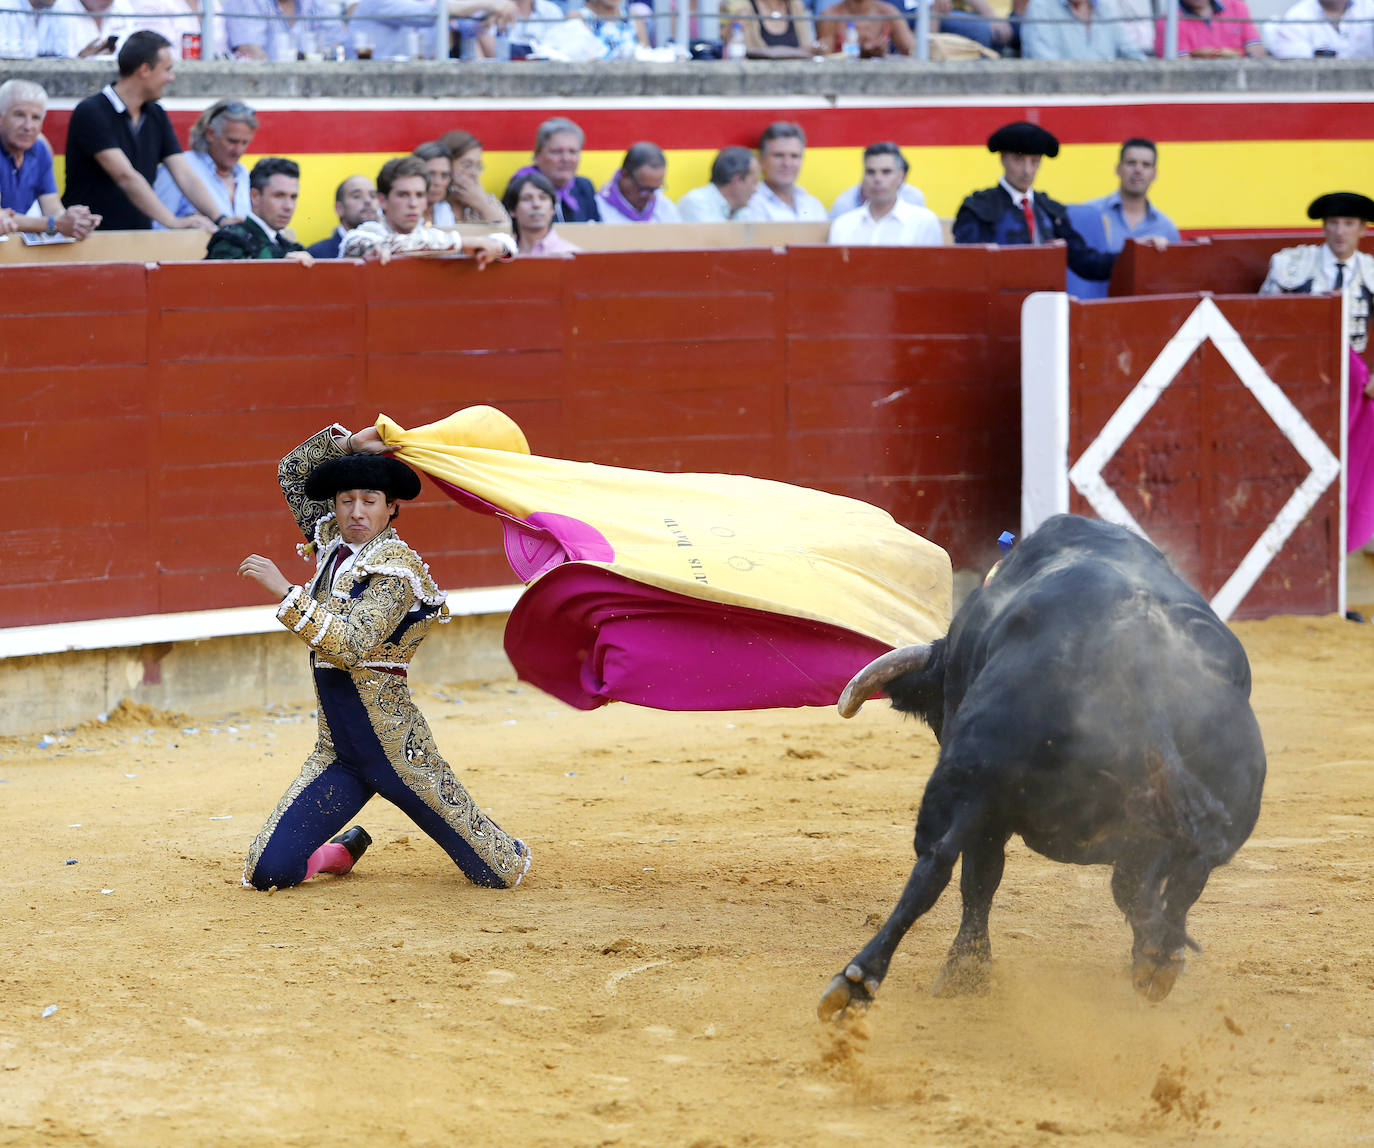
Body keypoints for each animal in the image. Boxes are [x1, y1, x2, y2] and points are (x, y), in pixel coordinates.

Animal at [813, 516, 1264, 1016]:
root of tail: (1135, 653)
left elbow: (977, 878)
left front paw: (966, 973)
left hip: (968, 783)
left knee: (938, 865)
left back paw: (868, 977)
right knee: (1169, 884)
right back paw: (1155, 962)